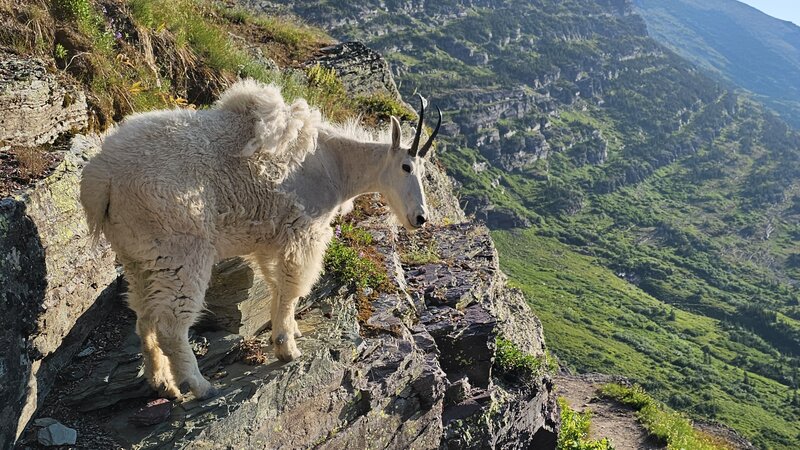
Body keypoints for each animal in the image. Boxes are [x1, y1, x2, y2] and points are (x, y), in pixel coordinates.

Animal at [80, 79, 440, 400]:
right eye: (406, 167)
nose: (420, 218)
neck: (335, 166)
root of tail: (102, 178)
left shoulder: (271, 241)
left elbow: (276, 285)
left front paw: (289, 331)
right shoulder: (304, 234)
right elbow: (293, 287)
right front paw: (287, 348)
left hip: (138, 257)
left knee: (144, 317)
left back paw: (162, 384)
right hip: (180, 254)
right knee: (171, 325)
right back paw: (200, 386)